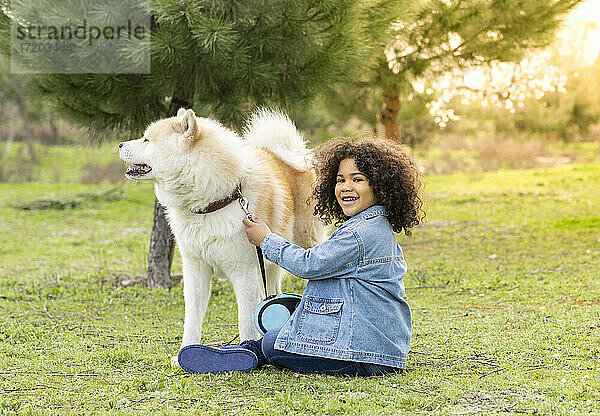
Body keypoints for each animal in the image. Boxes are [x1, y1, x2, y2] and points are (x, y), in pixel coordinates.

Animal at [118, 108, 324, 368]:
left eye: (146, 139)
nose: (120, 144)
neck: (212, 203)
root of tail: (290, 155)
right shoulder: (196, 272)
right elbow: (192, 318)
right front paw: (185, 353)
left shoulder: (243, 273)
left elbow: (245, 319)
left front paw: (247, 351)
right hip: (267, 266)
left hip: (305, 245)